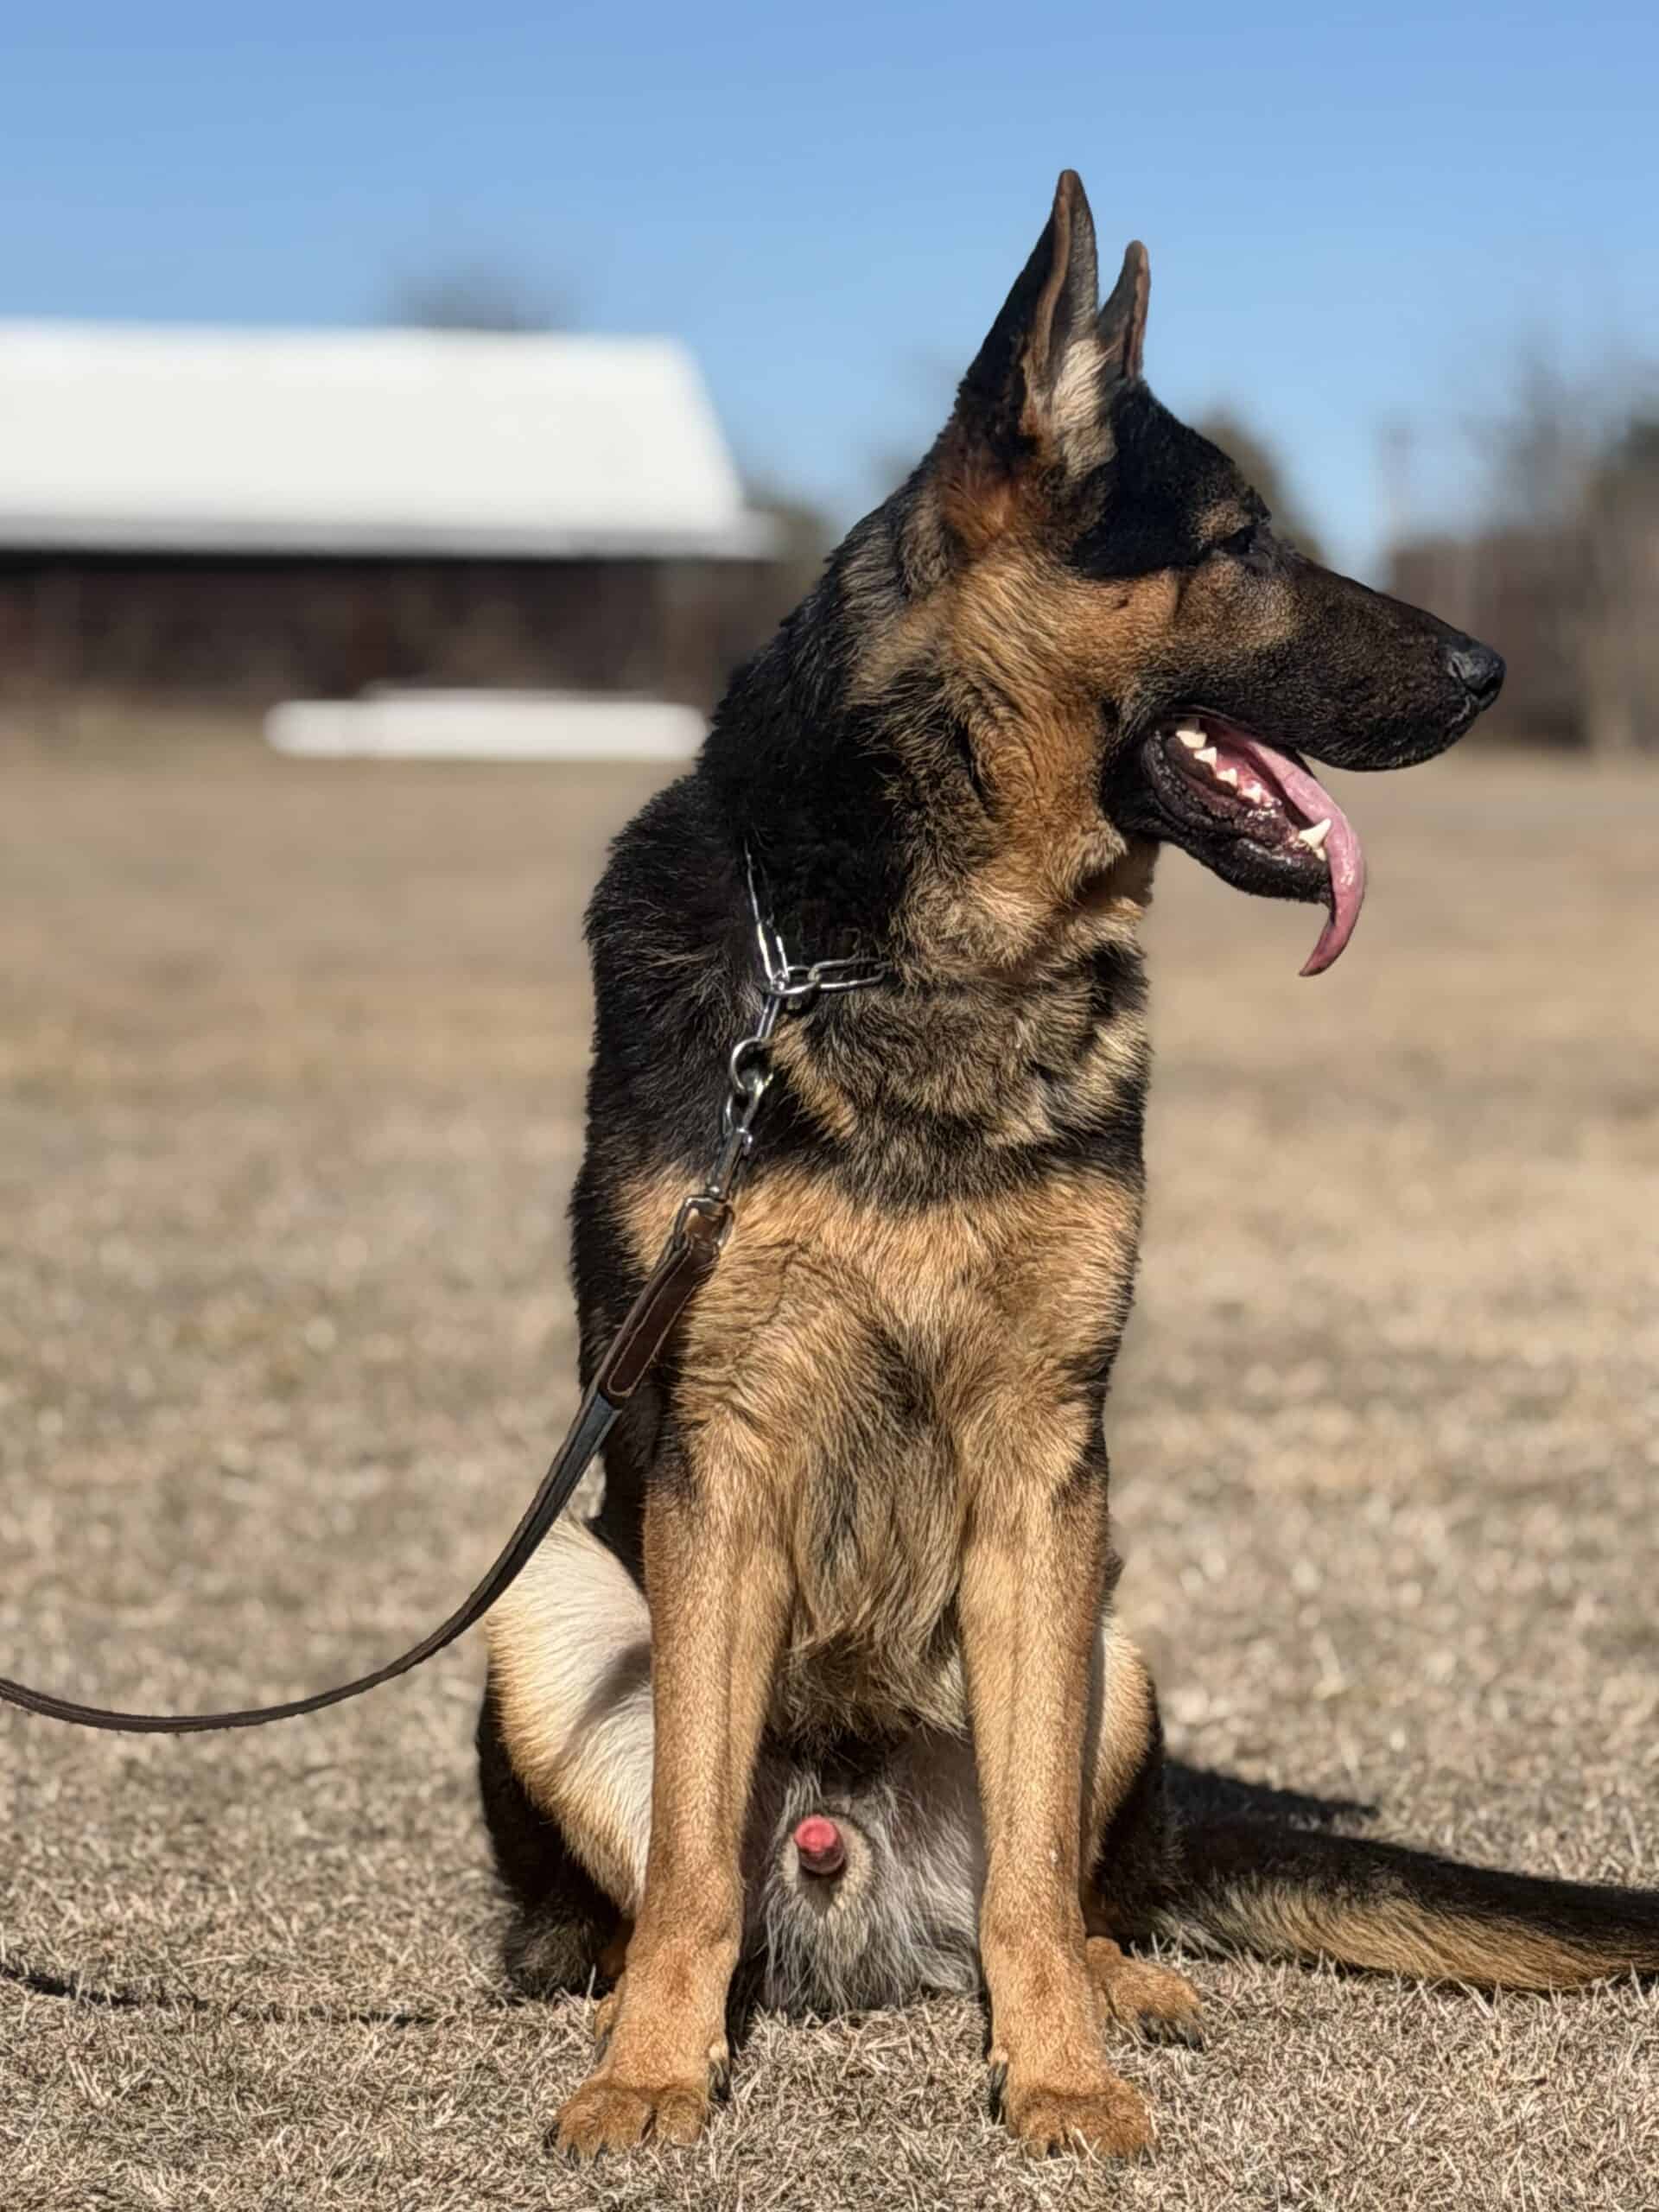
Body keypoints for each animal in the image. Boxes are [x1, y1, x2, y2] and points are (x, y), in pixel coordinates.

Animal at [477, 171, 1659, 2160]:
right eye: (1242, 540)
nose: (1490, 671)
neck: (906, 959)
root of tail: (854, 1859)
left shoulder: (1048, 1473)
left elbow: (1032, 1869)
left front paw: (1060, 2071)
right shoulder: (718, 1452)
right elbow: (692, 1869)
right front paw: (654, 2066)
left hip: (1119, 1628)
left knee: (1059, 1878)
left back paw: (1113, 1982)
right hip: (556, 1602)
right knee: (676, 1873)